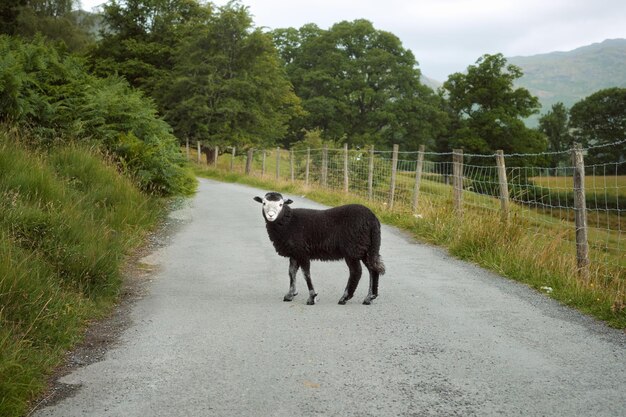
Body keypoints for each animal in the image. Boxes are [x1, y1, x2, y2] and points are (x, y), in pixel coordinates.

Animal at [251, 193, 382, 306]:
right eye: (264, 203)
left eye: (280, 204)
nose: (271, 215)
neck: (288, 222)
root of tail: (373, 219)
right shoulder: (294, 253)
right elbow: (291, 272)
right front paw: (290, 294)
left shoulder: (302, 252)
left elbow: (306, 274)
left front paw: (311, 297)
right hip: (366, 248)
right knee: (373, 270)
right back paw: (369, 297)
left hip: (352, 249)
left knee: (356, 272)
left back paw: (345, 297)